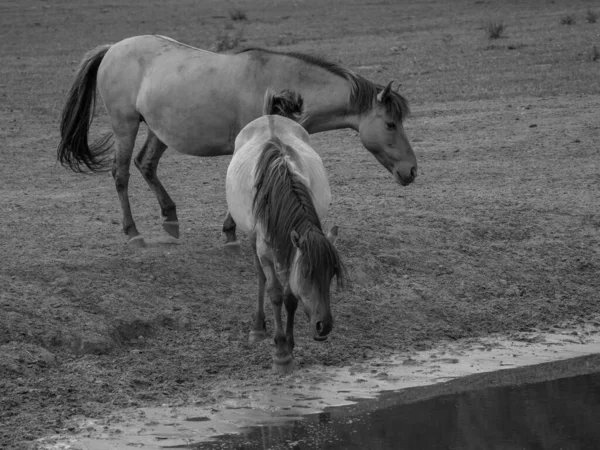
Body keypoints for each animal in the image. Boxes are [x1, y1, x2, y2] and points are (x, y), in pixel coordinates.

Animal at [56, 34, 418, 248]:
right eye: (390, 123)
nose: (412, 170)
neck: (278, 83)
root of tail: (112, 49)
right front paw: (232, 232)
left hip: (158, 130)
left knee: (146, 164)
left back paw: (170, 219)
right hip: (125, 126)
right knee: (121, 174)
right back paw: (133, 233)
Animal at [226, 89, 344, 372]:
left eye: (332, 274)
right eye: (308, 274)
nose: (324, 326)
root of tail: (270, 117)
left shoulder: (292, 250)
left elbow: (291, 297)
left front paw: (289, 346)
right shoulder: (268, 251)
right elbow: (276, 294)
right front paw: (280, 352)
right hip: (253, 238)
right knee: (260, 276)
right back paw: (258, 327)